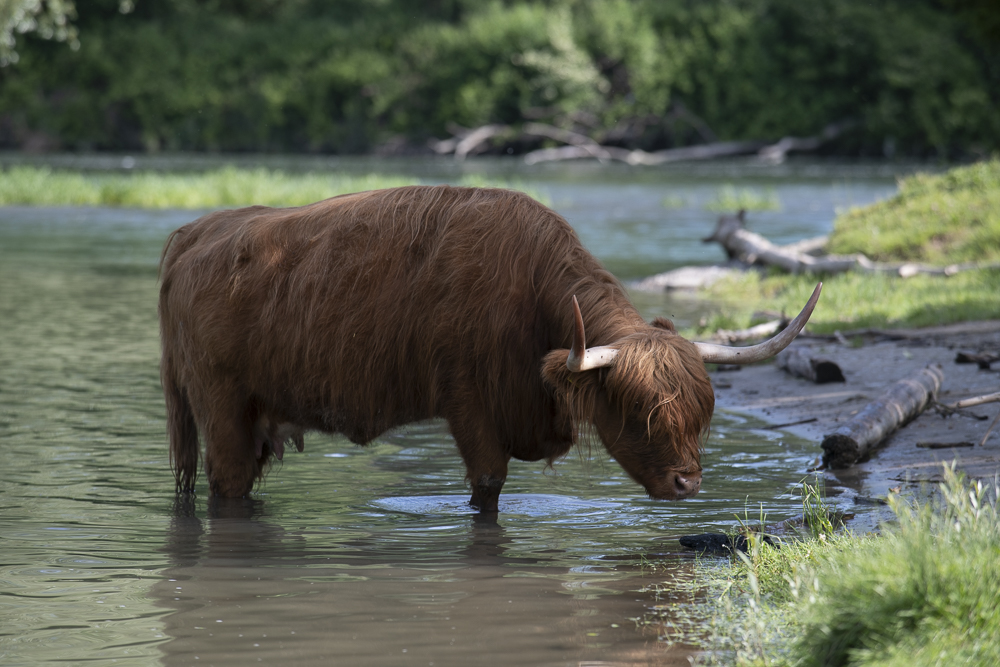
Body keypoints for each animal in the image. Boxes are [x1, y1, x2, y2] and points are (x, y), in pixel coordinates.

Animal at [158, 187, 820, 512]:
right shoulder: (468, 402)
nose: (689, 485)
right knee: (228, 485)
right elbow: (487, 487)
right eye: (639, 410)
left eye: (700, 413)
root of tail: (195, 232)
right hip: (221, 408)